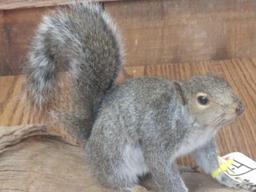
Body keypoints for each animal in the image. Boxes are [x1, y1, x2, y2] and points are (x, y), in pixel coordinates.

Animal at [24, 2, 250, 192]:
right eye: (203, 100)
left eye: (227, 83)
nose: (239, 108)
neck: (198, 126)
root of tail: (90, 141)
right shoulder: (158, 139)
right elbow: (163, 171)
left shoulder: (203, 145)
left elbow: (211, 165)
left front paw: (232, 181)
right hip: (114, 157)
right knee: (111, 180)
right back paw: (131, 187)